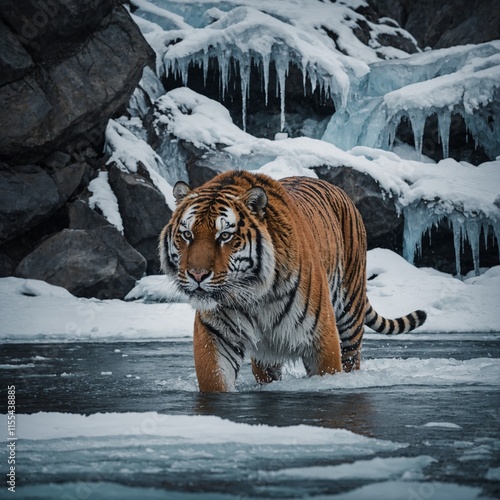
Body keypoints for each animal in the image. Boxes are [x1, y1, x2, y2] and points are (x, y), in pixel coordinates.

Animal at [160, 170, 426, 392]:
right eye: (187, 235)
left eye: (225, 236)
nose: (197, 275)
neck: (255, 296)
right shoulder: (215, 334)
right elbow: (215, 382)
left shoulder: (322, 335)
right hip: (266, 356)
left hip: (350, 315)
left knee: (352, 358)